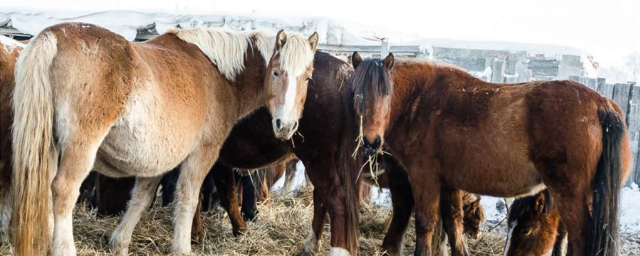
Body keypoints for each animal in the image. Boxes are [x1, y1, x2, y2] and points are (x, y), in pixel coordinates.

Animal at [10, 22, 320, 256]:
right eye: (277, 72)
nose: (285, 125)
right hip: (79, 149)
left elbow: (141, 198)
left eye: (307, 78)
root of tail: (54, 36)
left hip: (50, 147)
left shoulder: (155, 160)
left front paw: (120, 242)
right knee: (63, 190)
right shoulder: (202, 153)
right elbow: (189, 198)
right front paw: (182, 247)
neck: (218, 73)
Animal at [342, 52, 632, 256]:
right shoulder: (448, 184)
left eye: (387, 94)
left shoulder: (423, 179)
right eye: (356, 94)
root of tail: (601, 104)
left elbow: (425, 225)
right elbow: (453, 225)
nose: (371, 141)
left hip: (570, 195)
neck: (420, 101)